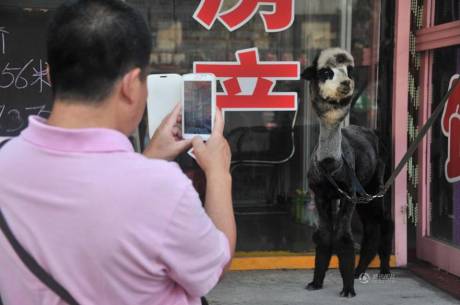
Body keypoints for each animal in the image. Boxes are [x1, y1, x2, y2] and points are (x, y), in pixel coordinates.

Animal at [302, 48, 392, 296]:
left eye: (349, 71)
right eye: (325, 72)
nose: (346, 83)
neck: (331, 165)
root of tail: (373, 132)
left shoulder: (347, 194)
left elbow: (343, 237)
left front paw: (348, 289)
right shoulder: (322, 194)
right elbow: (324, 235)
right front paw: (316, 282)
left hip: (376, 185)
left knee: (383, 222)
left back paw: (383, 269)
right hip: (363, 194)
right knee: (371, 226)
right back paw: (360, 270)